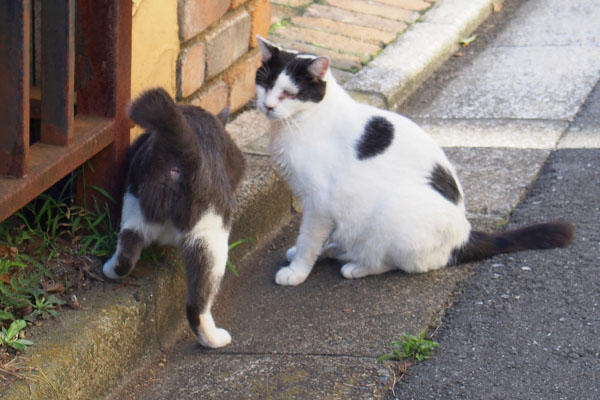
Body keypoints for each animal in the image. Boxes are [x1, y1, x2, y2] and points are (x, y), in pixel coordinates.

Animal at [102, 87, 245, 346]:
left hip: (136, 200)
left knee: (128, 246)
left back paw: (110, 269)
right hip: (211, 232)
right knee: (197, 302)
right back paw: (214, 339)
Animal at [255, 36, 576, 288]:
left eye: (289, 94)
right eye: (265, 83)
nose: (267, 106)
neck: (302, 121)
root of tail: (464, 234)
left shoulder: (319, 203)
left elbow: (309, 239)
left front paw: (297, 271)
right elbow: (308, 239)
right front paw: (302, 254)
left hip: (393, 214)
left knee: (395, 262)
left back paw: (357, 265)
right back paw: (336, 249)